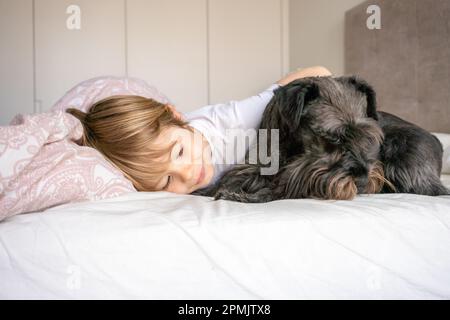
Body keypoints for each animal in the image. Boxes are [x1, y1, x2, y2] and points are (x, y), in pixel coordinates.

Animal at [192, 76, 448, 202]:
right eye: (332, 138)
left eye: (368, 138)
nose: (363, 180)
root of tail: (437, 141)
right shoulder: (254, 168)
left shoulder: (302, 181)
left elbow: (276, 191)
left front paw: (242, 196)